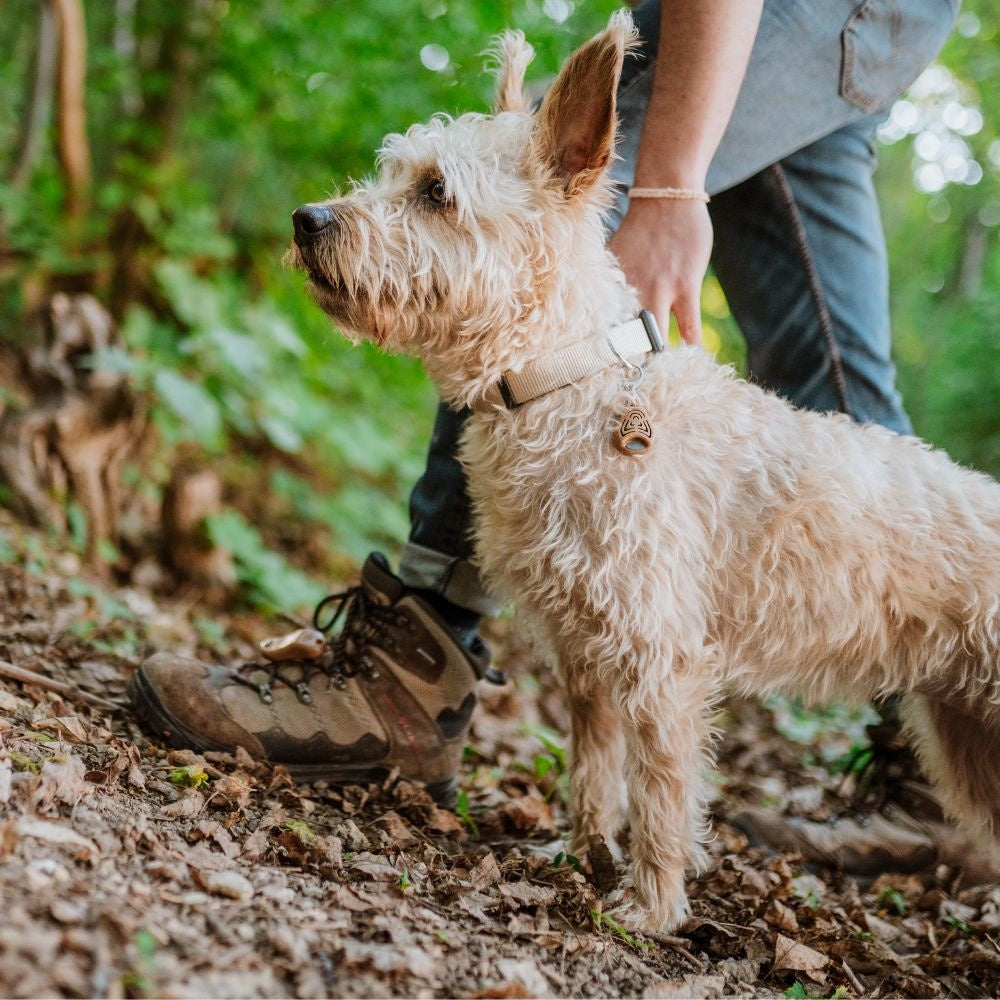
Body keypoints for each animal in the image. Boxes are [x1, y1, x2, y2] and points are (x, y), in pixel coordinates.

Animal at [290, 11, 1000, 932]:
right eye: (391, 171)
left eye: (436, 192)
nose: (306, 218)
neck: (563, 383)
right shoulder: (585, 653)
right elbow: (593, 768)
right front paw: (580, 854)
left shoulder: (662, 659)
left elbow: (660, 793)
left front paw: (650, 906)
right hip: (966, 729)